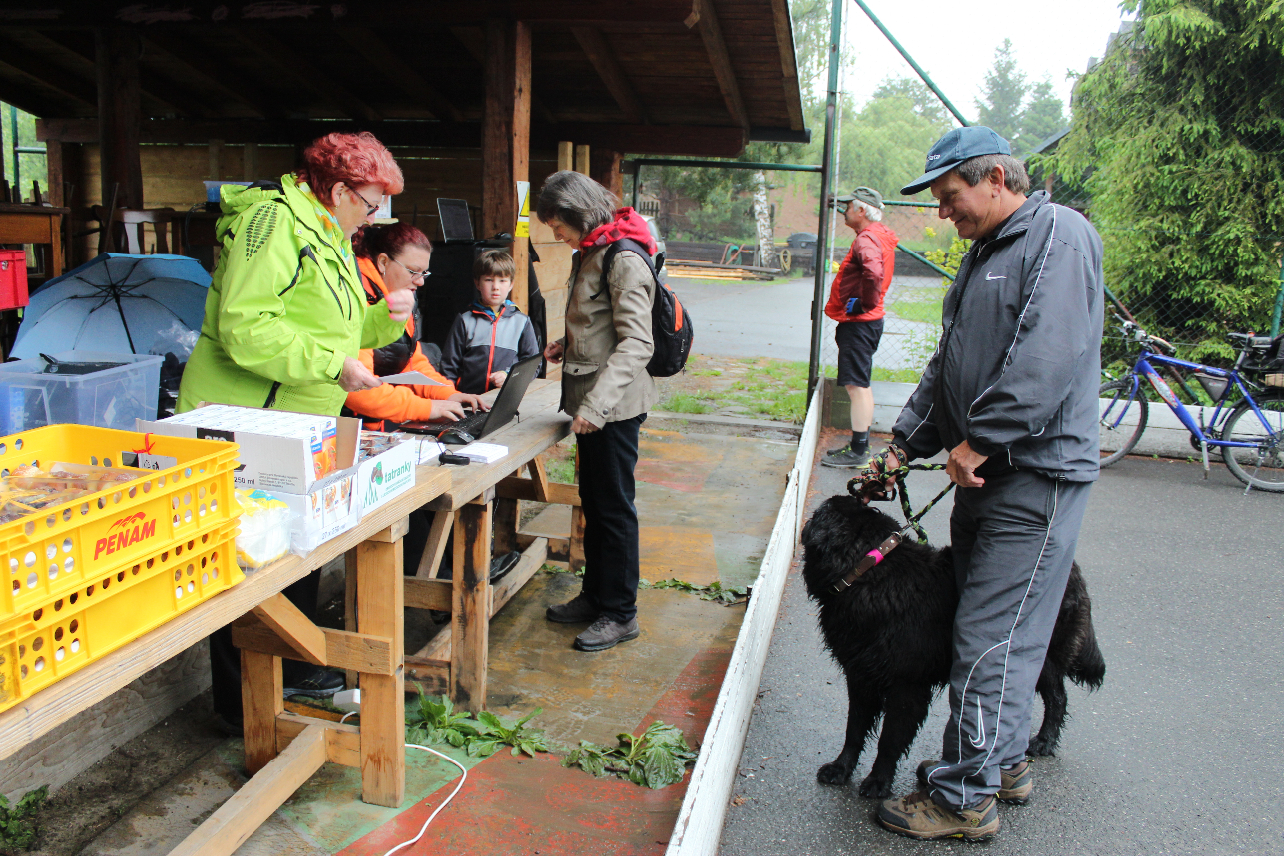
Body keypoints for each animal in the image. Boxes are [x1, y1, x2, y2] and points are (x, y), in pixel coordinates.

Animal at [801, 492, 1104, 800]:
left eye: (821, 511)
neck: (869, 572)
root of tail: (1072, 569)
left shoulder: (906, 685)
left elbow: (889, 739)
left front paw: (878, 781)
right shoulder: (860, 675)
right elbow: (854, 728)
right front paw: (840, 768)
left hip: (1038, 654)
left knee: (1056, 697)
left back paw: (1044, 741)